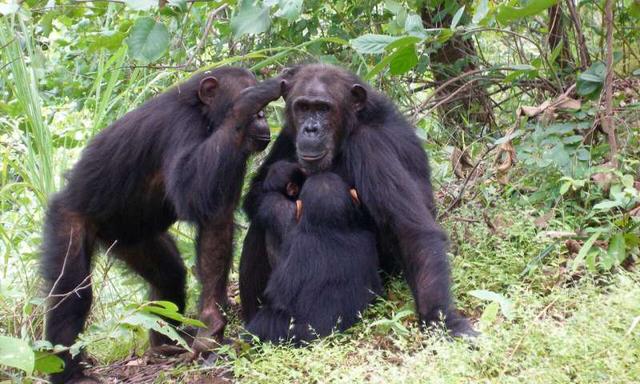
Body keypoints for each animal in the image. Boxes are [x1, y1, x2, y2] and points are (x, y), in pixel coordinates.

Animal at [42, 67, 284, 382]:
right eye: (258, 109)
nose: (262, 117)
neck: (204, 115)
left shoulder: (233, 152)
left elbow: (214, 216)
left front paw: (209, 325)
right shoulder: (182, 127)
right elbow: (192, 189)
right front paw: (247, 102)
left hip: (133, 238)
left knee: (169, 276)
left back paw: (164, 345)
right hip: (67, 219)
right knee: (72, 294)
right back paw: (69, 373)